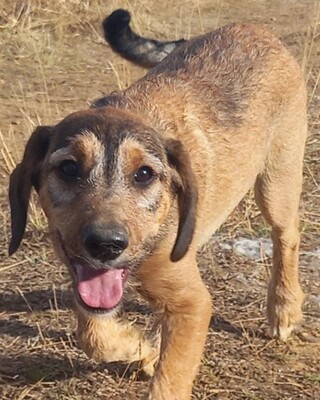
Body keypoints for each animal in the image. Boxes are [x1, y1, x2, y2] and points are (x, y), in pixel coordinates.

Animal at [8, 9, 306, 400]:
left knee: (287, 235)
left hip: (276, 183)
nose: (106, 244)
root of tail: (256, 29)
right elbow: (93, 334)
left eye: (145, 174)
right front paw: (141, 349)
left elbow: (168, 381)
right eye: (69, 168)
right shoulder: (87, 277)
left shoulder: (192, 304)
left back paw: (284, 307)